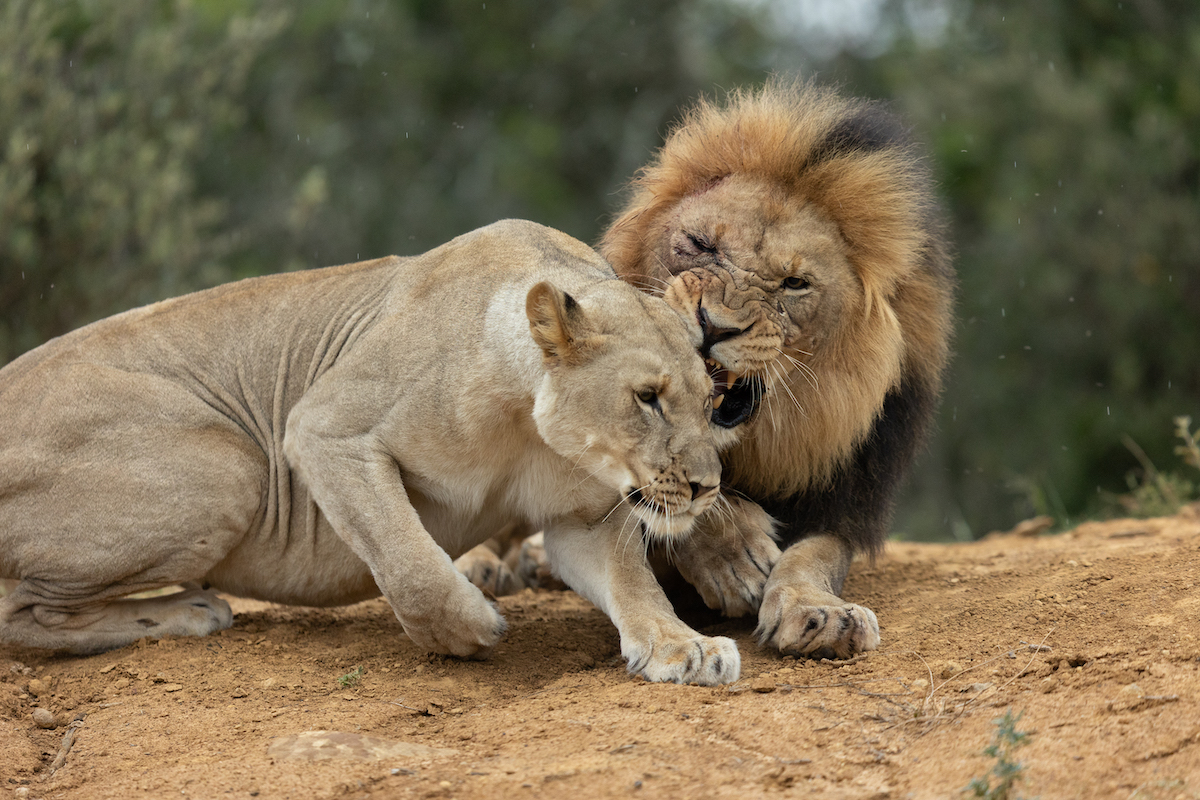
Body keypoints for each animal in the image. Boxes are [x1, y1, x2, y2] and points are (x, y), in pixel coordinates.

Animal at [0, 220, 739, 690]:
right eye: (647, 398)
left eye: (711, 399)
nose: (707, 487)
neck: (525, 425)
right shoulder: (325, 429)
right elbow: (408, 561)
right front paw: (469, 628)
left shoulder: (584, 517)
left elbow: (634, 585)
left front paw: (685, 646)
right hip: (231, 465)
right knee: (21, 615)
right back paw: (187, 612)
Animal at [600, 77, 955, 662]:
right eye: (700, 244)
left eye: (794, 283)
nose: (713, 325)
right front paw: (736, 558)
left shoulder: (844, 499)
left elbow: (813, 556)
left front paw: (821, 615)